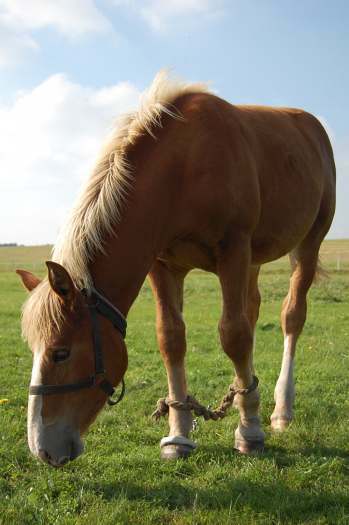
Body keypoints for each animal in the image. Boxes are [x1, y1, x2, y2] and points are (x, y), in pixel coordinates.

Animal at [17, 70, 334, 466]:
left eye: (61, 352)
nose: (42, 447)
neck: (183, 167)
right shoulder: (163, 264)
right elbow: (172, 338)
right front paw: (179, 433)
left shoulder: (233, 250)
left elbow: (234, 334)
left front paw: (250, 430)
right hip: (255, 259)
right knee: (252, 309)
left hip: (306, 243)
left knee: (291, 316)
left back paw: (280, 409)